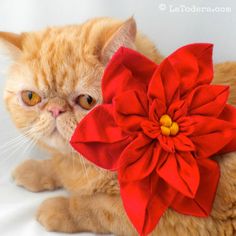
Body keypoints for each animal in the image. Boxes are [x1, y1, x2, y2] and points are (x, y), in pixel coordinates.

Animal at [1, 17, 236, 235]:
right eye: (30, 97)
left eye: (87, 101)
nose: (55, 110)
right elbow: (59, 167)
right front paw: (35, 169)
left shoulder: (175, 218)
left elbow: (96, 207)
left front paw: (59, 208)